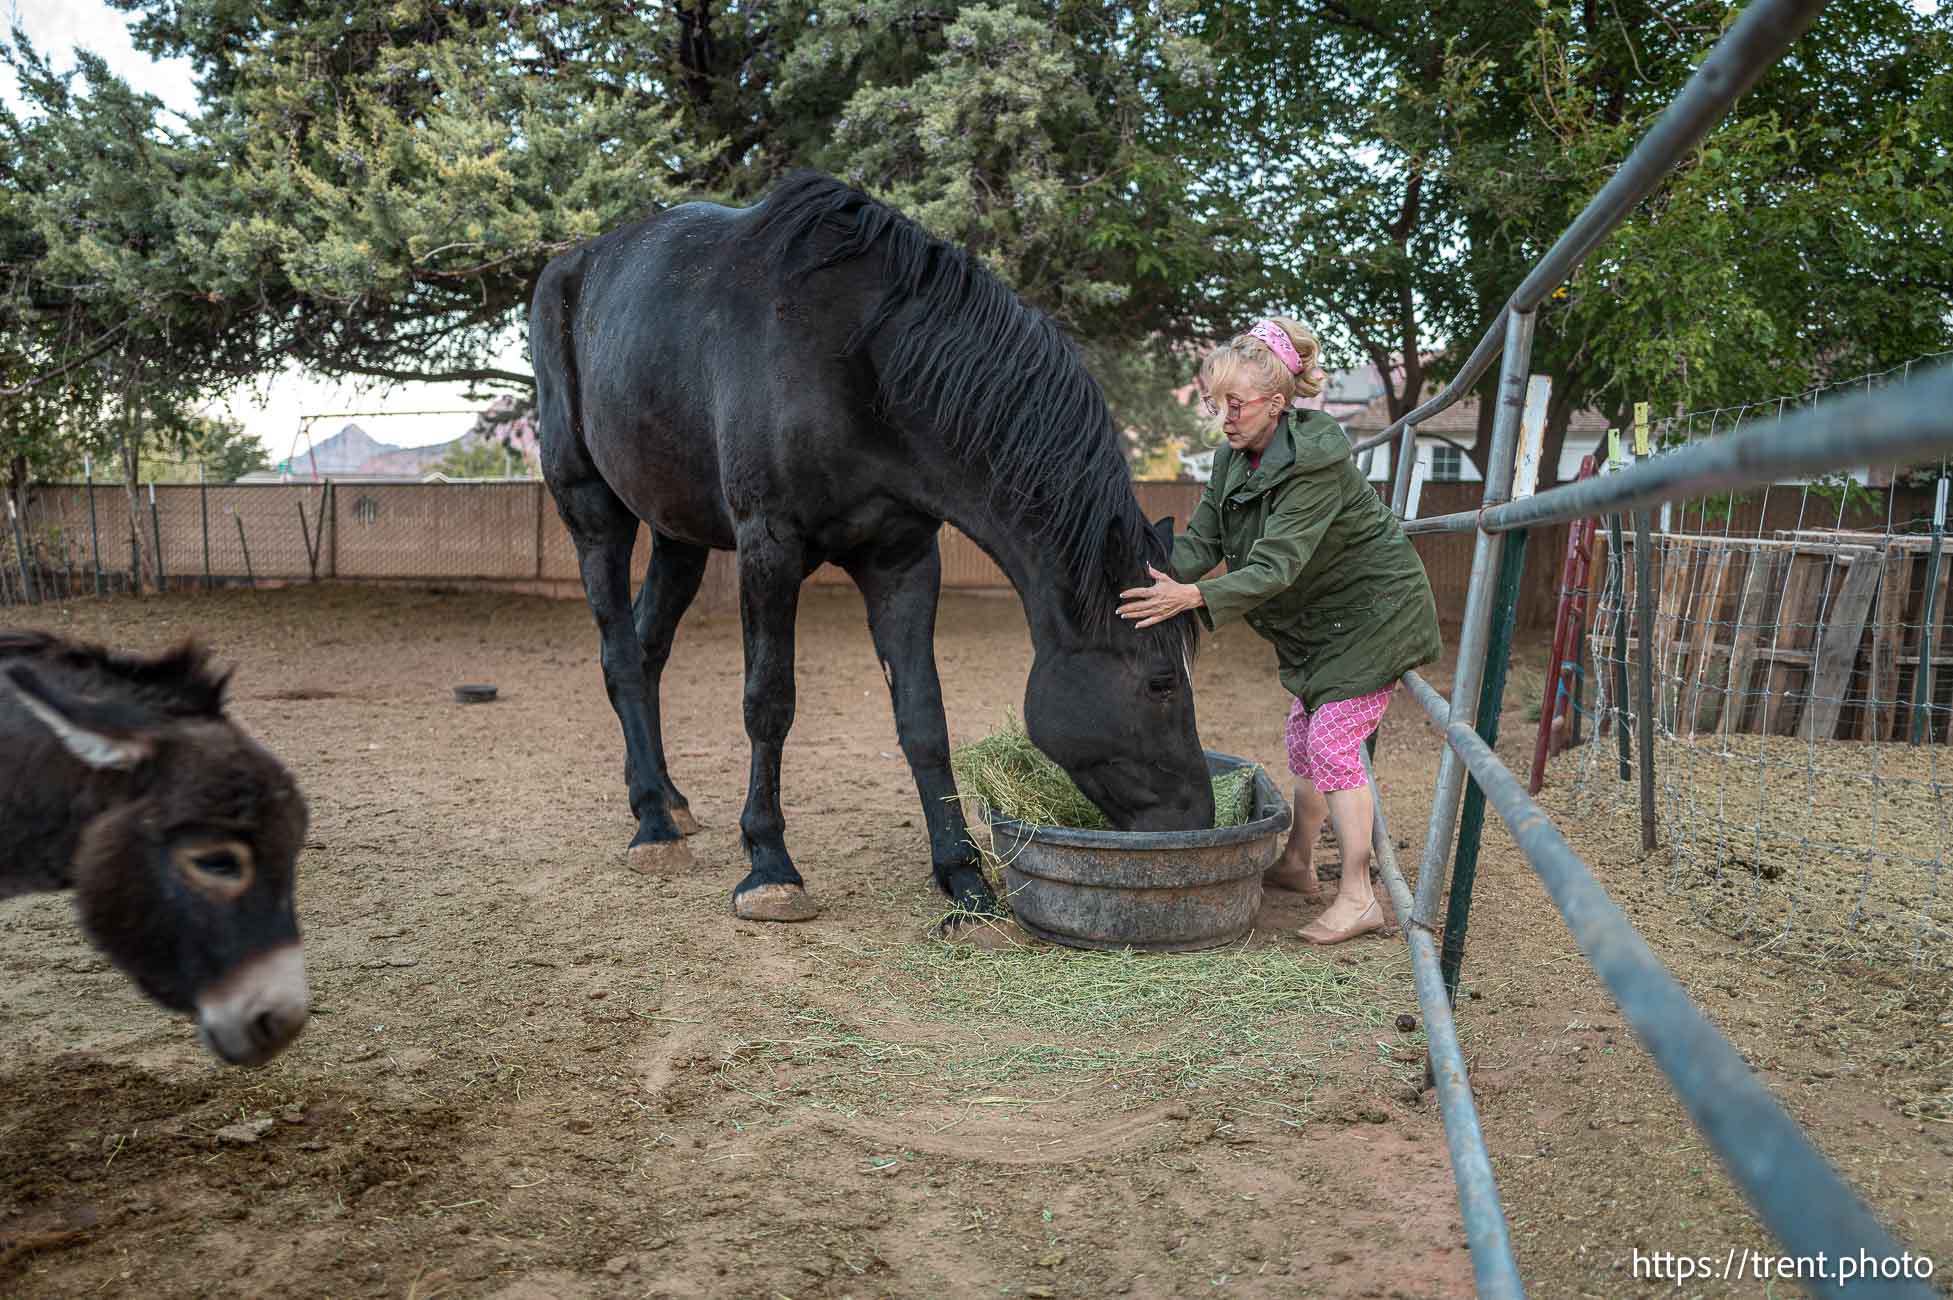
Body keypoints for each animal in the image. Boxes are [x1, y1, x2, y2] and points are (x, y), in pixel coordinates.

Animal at [527, 171, 1210, 921]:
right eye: (1161, 681)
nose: (1197, 821)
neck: (859, 358)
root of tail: (571, 265)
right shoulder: (769, 549)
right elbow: (769, 702)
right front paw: (770, 865)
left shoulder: (902, 559)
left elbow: (922, 714)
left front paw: (963, 876)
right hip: (593, 510)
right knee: (621, 656)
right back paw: (651, 820)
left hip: (680, 533)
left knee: (648, 649)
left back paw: (663, 799)